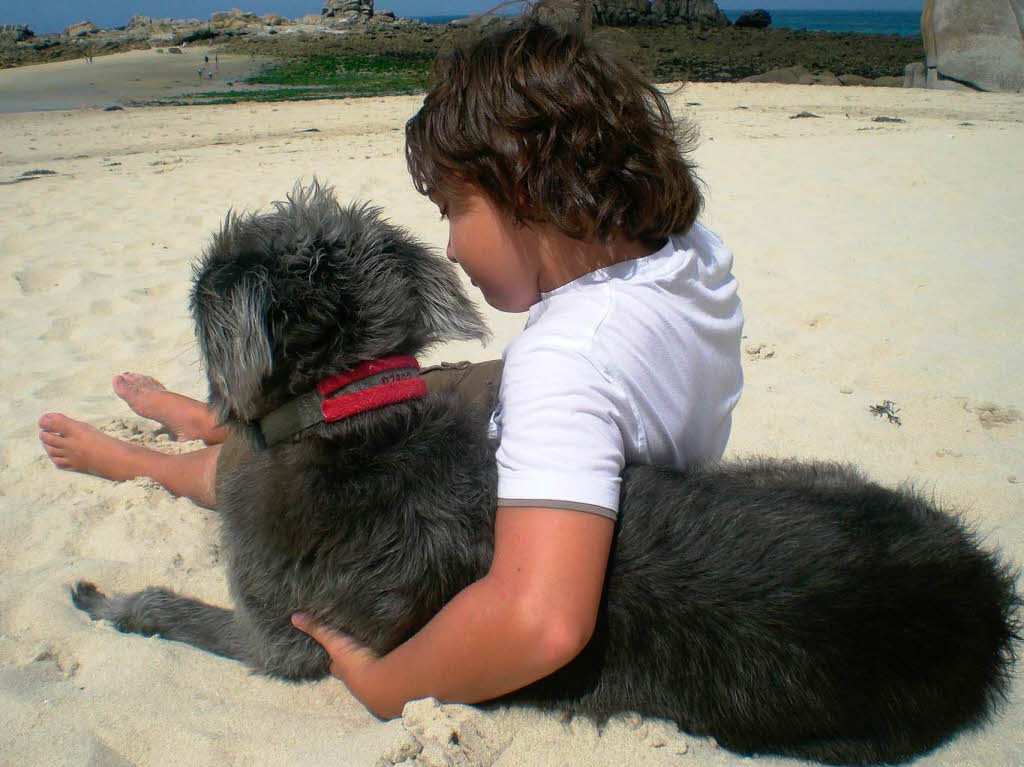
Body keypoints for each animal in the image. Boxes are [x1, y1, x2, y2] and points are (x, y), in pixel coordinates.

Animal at [72, 182, 1015, 761]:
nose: (200, 274)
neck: (351, 419)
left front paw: (113, 602)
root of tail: (979, 601)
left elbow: (173, 608)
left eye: (212, 277)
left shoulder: (283, 640)